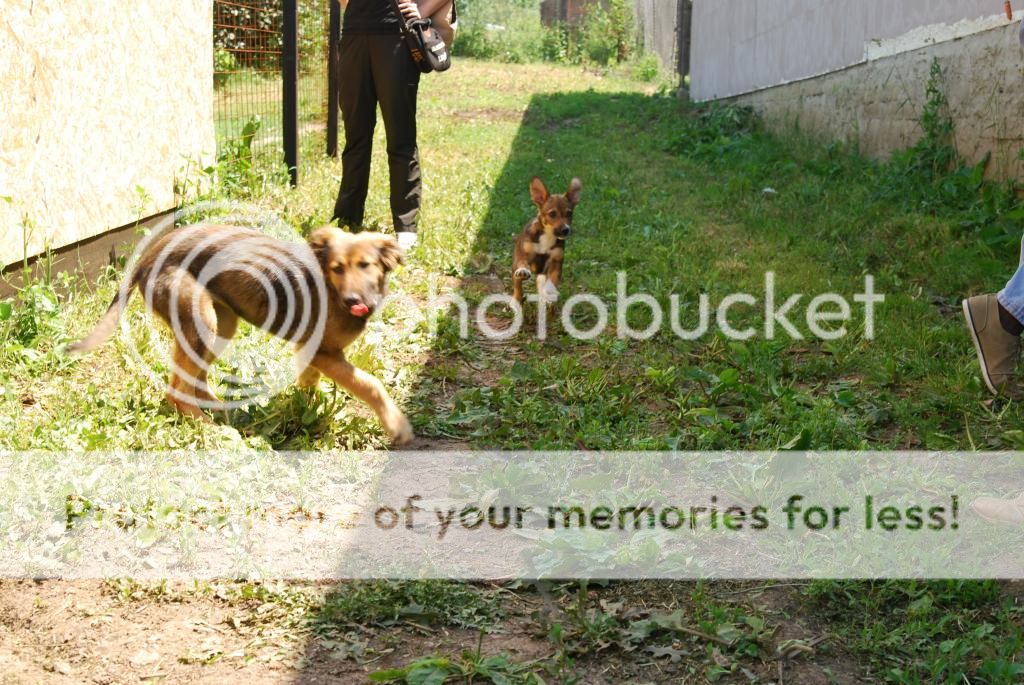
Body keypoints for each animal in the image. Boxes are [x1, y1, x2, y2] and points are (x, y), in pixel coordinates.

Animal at [68, 224, 413, 446]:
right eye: (337, 268)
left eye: (365, 265)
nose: (354, 301)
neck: (333, 292)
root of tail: (147, 257)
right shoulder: (323, 353)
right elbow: (370, 384)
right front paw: (396, 425)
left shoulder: (310, 351)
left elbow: (309, 383)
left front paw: (305, 410)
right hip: (202, 320)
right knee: (176, 391)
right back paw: (211, 428)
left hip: (222, 325)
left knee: (196, 380)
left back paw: (222, 410)